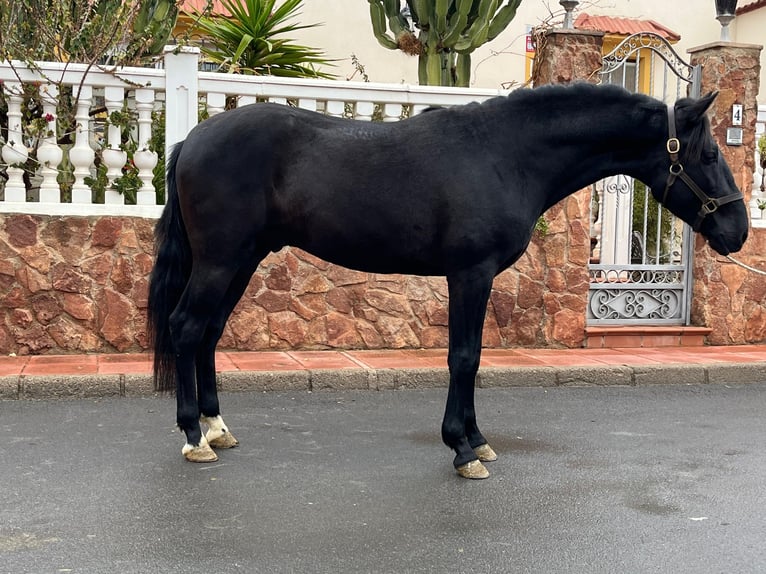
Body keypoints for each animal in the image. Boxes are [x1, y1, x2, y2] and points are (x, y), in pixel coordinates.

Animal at [148, 84, 752, 482]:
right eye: (708, 152)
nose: (738, 230)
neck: (506, 155)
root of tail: (193, 138)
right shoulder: (470, 275)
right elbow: (463, 357)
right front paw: (462, 450)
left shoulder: (474, 280)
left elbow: (475, 358)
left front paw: (478, 442)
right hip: (222, 260)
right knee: (187, 327)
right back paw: (193, 437)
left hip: (242, 260)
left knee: (208, 332)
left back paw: (217, 427)